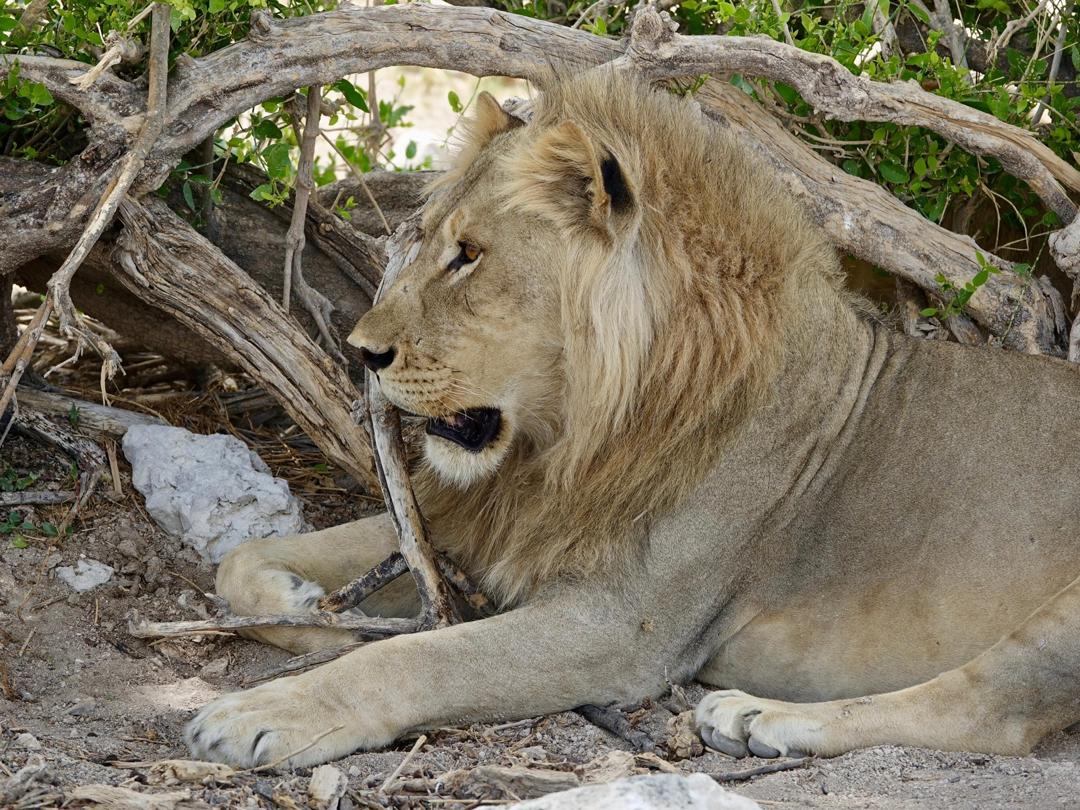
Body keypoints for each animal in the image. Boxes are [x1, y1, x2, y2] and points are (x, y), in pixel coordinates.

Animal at [185, 70, 1080, 768]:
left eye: (469, 256)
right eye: (431, 240)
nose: (361, 351)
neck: (566, 444)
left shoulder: (620, 627)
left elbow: (418, 662)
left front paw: (264, 713)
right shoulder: (491, 523)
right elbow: (239, 563)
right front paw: (307, 606)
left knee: (991, 713)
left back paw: (759, 717)